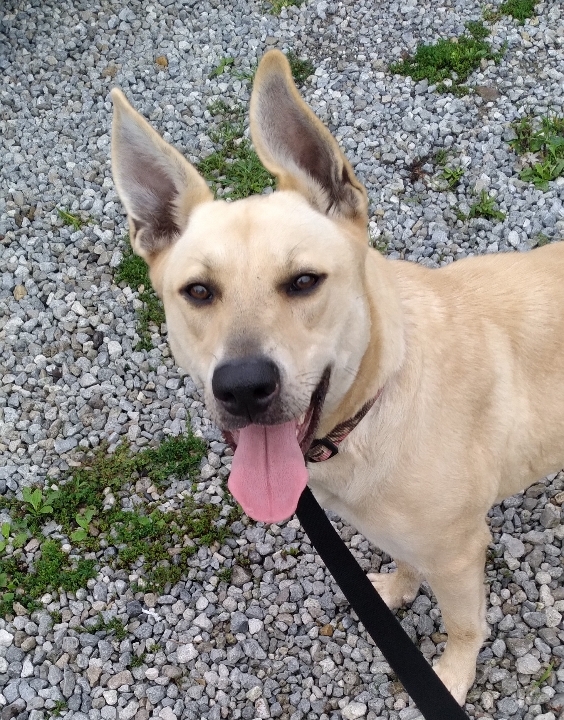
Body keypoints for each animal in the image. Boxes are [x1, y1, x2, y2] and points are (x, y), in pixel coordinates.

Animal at [109, 50, 564, 704]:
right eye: (198, 291)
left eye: (304, 281)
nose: (243, 388)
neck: (375, 401)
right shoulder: (410, 536)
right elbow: (406, 561)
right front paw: (395, 590)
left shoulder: (459, 551)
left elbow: (464, 625)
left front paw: (451, 677)